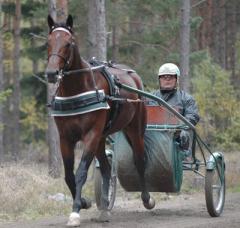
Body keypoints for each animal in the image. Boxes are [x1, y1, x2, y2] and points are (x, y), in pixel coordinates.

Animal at [45, 14, 155, 226]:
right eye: (49, 41)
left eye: (69, 43)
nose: (51, 73)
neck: (77, 90)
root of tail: (132, 74)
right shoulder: (65, 138)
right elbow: (69, 175)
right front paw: (84, 202)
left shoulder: (91, 134)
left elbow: (80, 172)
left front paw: (75, 212)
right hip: (102, 137)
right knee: (105, 168)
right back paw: (104, 207)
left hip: (134, 129)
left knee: (139, 160)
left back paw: (147, 199)